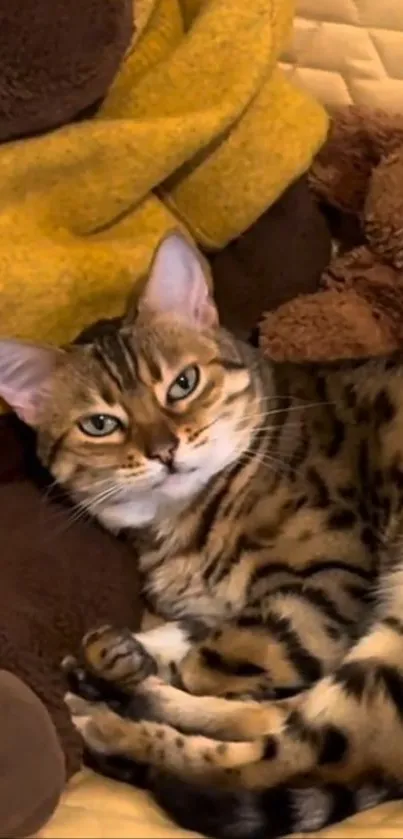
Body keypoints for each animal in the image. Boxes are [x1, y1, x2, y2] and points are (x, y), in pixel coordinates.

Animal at [2, 231, 403, 839]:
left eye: (182, 385)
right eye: (101, 424)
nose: (164, 450)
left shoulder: (316, 589)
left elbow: (213, 660)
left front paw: (134, 671)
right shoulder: (222, 607)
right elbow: (188, 638)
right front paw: (123, 652)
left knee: (281, 758)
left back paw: (115, 724)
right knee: (278, 720)